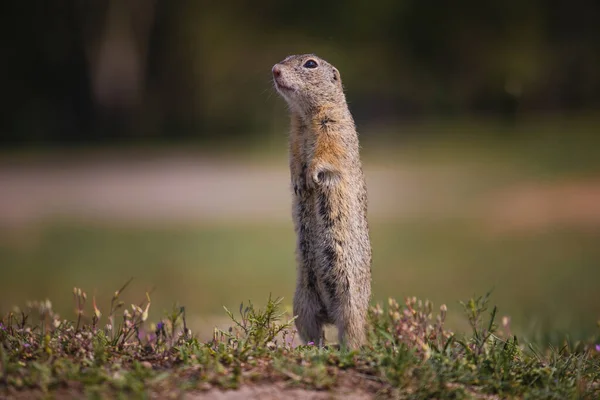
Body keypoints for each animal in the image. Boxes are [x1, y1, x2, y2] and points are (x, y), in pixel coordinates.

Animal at [272, 54, 370, 348]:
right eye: (284, 58)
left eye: (310, 64)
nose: (275, 70)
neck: (305, 116)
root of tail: (329, 312)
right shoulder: (293, 137)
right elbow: (294, 159)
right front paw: (297, 182)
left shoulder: (334, 126)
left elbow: (327, 153)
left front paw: (312, 177)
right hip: (302, 303)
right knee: (314, 332)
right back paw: (314, 348)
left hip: (350, 303)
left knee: (353, 332)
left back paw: (349, 349)